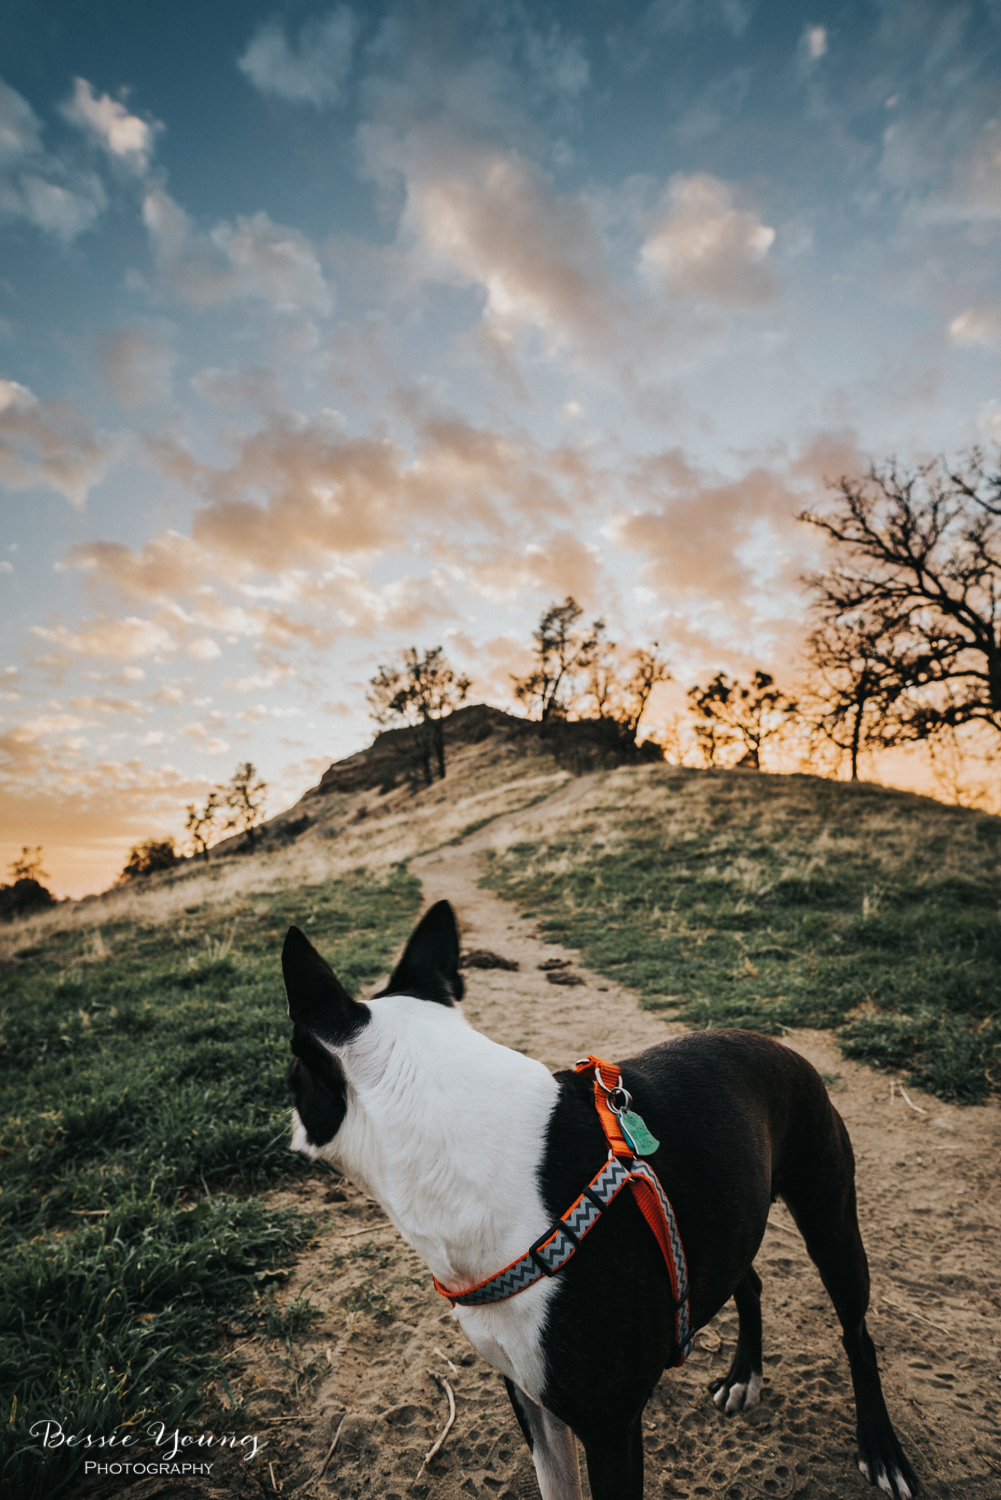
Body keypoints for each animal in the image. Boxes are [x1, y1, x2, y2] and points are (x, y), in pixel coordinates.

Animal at [282, 900, 918, 1500]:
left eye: (292, 1076)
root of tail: (774, 1042)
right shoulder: (531, 1400)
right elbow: (555, 1485)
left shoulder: (611, 1431)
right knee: (751, 1282)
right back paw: (744, 1375)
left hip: (829, 1220)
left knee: (856, 1334)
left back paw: (881, 1449)